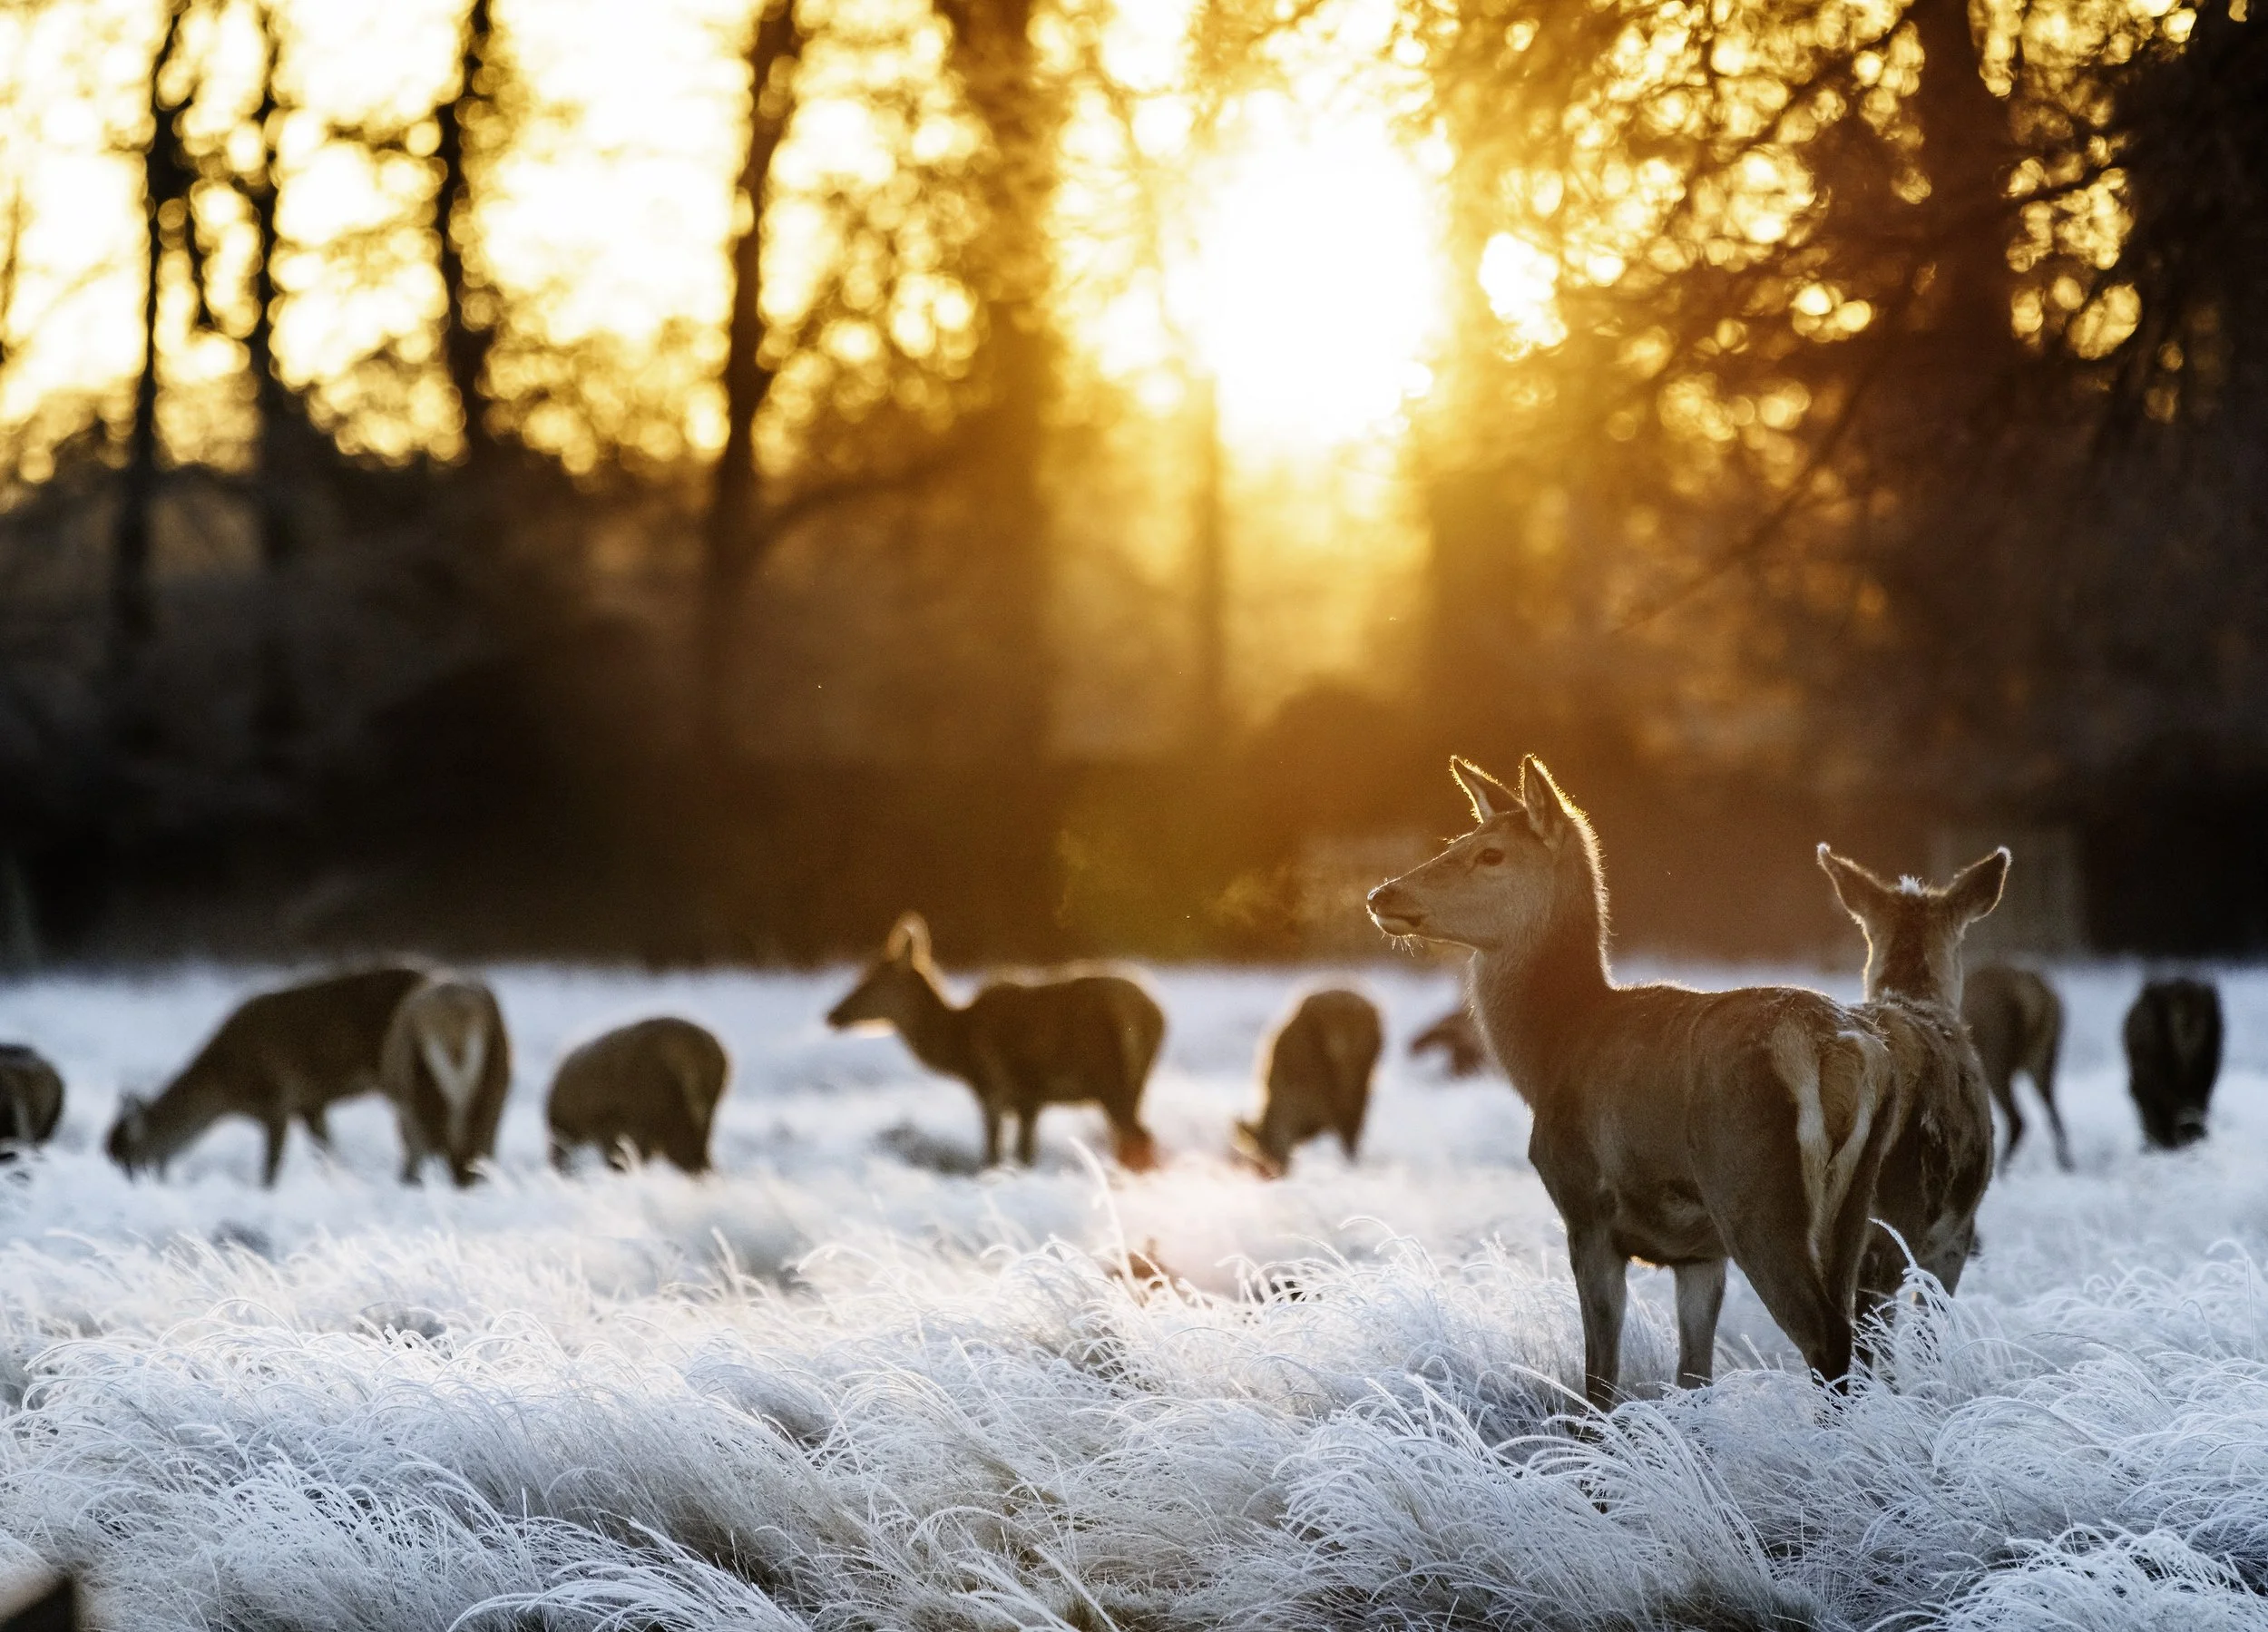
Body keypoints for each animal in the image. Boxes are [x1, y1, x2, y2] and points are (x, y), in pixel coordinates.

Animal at [106, 965, 426, 1185]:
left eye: (129, 1158)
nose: (132, 1186)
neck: (228, 1091)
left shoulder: (279, 1095)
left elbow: (271, 1166)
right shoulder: (309, 1101)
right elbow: (325, 1149)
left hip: (401, 1074)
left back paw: (409, 1179)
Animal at [827, 912, 1164, 1170]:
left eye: (872, 980)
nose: (832, 1015)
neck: (957, 1048)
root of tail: (1152, 1014)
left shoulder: (992, 1087)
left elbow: (991, 1156)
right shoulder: (1029, 1101)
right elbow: (1024, 1156)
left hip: (1107, 1076)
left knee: (1139, 1137)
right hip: (1138, 1082)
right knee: (1132, 1139)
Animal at [1368, 757, 1911, 1408]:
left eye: (1491, 853)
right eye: (1457, 840)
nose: (1382, 894)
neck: (1553, 1052)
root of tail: (1841, 1045)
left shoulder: (1586, 1209)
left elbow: (1600, 1378)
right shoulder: (1699, 1253)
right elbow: (1694, 1375)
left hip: (1753, 1186)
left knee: (1826, 1339)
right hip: (1855, 1199)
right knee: (1859, 1331)